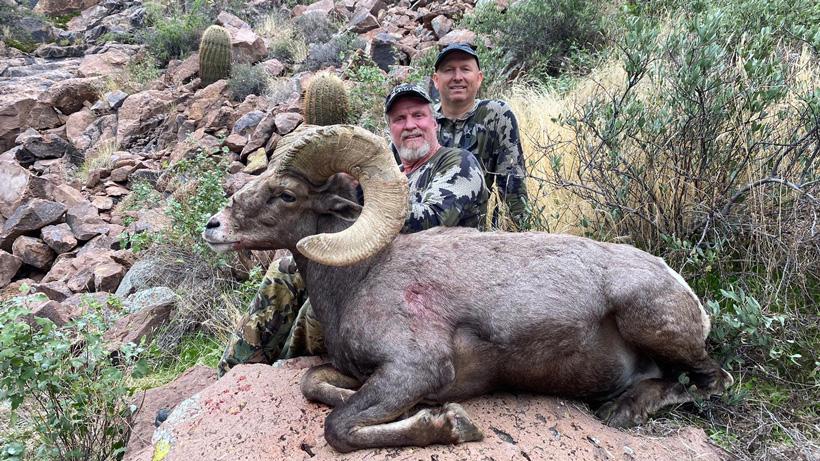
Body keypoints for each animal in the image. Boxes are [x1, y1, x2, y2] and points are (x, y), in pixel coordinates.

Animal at [203, 124, 733, 453]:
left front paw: (449, 423)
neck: (360, 279)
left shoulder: (415, 369)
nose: (213, 226)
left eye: (285, 194)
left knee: (711, 382)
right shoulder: (366, 374)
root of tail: (682, 288)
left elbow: (338, 427)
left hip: (649, 320)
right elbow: (312, 383)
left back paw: (620, 409)